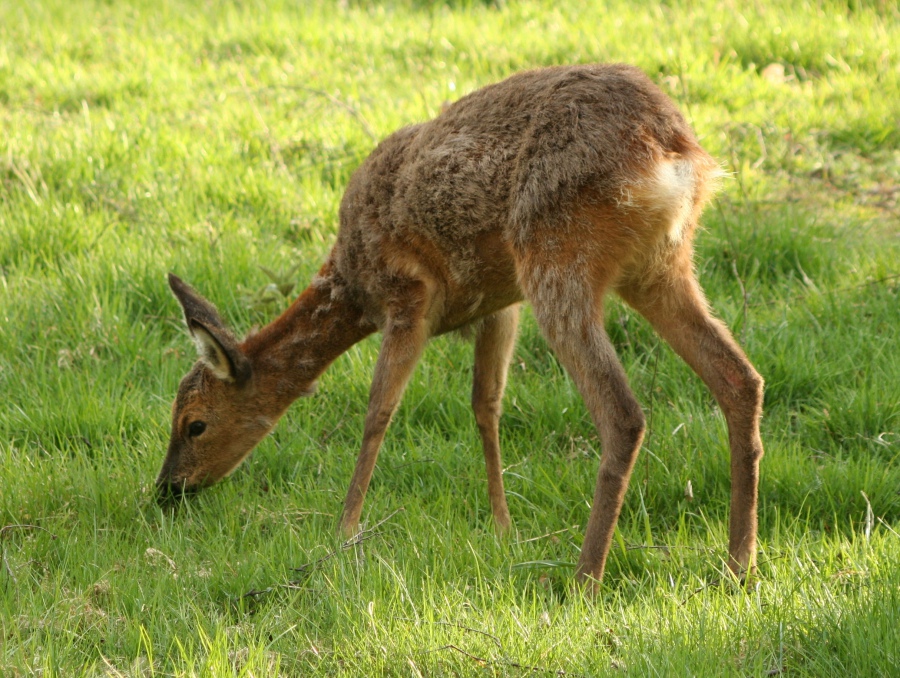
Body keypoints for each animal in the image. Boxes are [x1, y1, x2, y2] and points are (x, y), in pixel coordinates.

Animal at [158, 62, 764, 588]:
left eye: (194, 424)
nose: (167, 490)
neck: (352, 283)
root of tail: (673, 146)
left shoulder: (409, 297)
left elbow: (378, 412)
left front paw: (343, 529)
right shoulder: (497, 305)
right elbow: (485, 406)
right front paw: (502, 527)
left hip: (556, 256)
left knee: (624, 413)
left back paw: (584, 578)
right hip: (658, 266)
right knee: (740, 378)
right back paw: (738, 564)